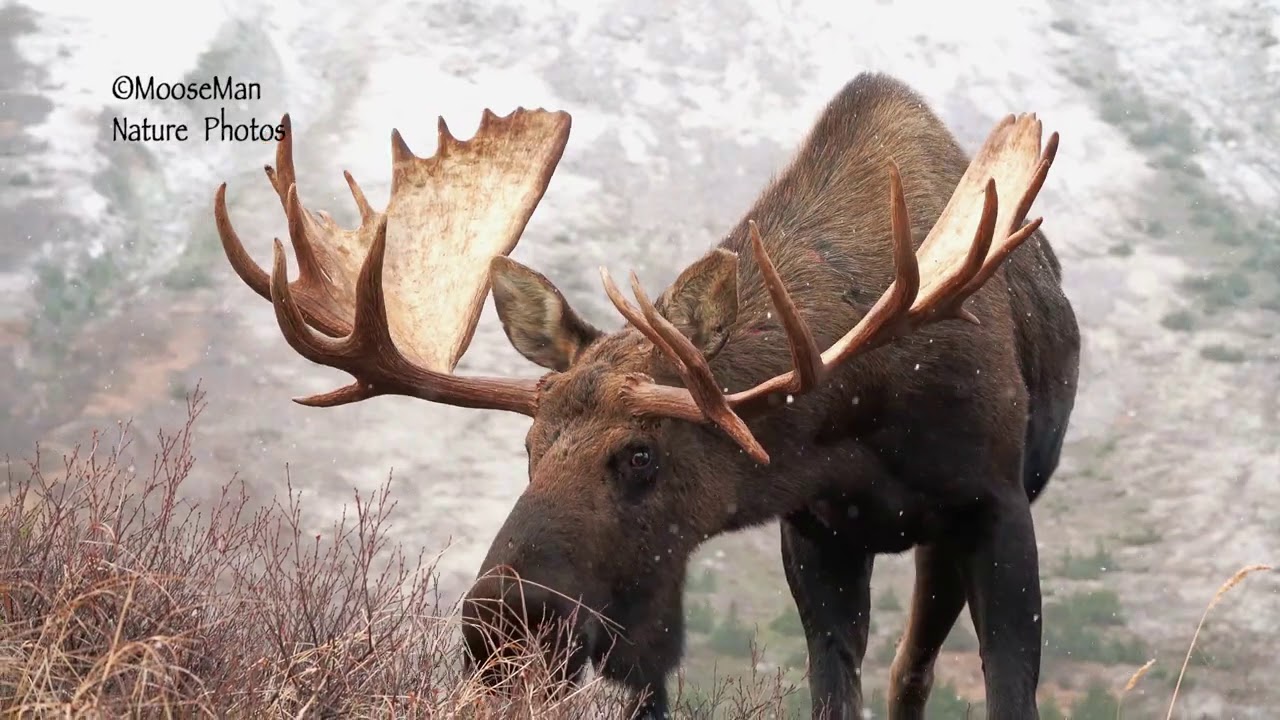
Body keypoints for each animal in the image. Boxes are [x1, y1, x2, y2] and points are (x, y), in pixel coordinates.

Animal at [212, 72, 1080, 719]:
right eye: (528, 447)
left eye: (639, 453)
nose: (500, 623)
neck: (861, 416)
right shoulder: (812, 528)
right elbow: (831, 692)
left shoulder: (992, 501)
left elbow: (1010, 690)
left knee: (913, 670)